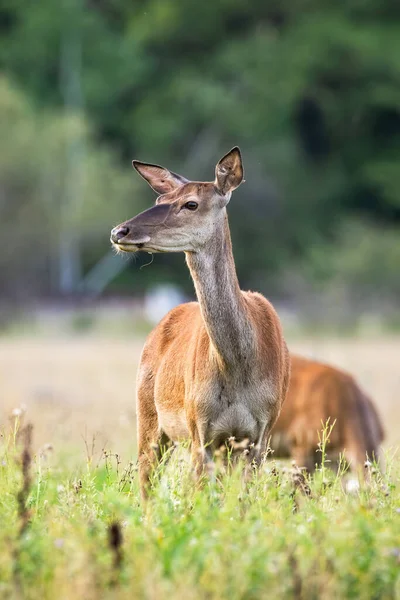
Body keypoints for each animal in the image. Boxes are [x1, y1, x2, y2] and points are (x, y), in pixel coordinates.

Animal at [110, 149, 290, 496]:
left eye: (190, 203)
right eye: (159, 200)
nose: (119, 232)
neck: (239, 368)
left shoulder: (262, 431)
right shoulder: (199, 428)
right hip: (149, 415)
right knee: (146, 484)